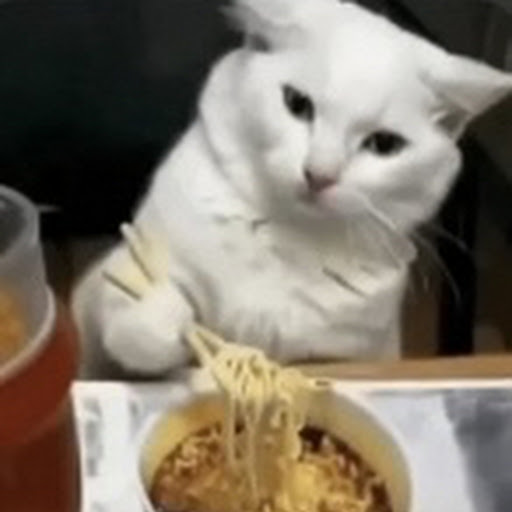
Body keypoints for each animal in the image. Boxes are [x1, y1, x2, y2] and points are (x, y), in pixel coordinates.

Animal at [73, 0, 512, 378]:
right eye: (297, 103)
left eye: (384, 144)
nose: (319, 174)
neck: (282, 235)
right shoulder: (108, 287)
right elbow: (133, 317)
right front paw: (164, 316)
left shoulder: (359, 349)